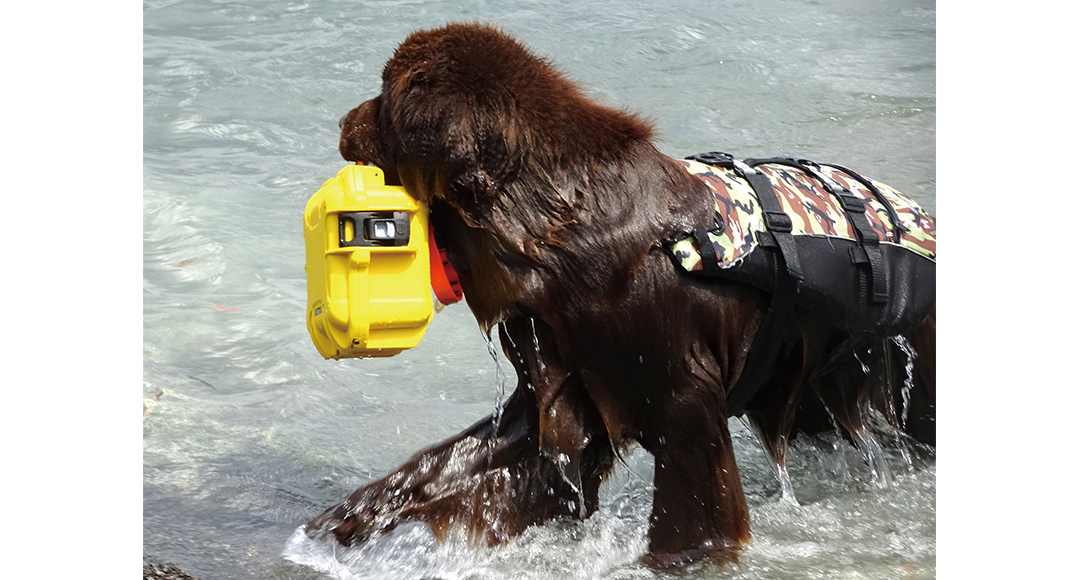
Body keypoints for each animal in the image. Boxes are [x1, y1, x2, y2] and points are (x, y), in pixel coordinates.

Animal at [306, 22, 937, 565]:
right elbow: (473, 462)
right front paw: (345, 519)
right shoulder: (558, 378)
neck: (556, 231)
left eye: (384, 98)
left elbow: (693, 515)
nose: (338, 120)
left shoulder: (682, 401)